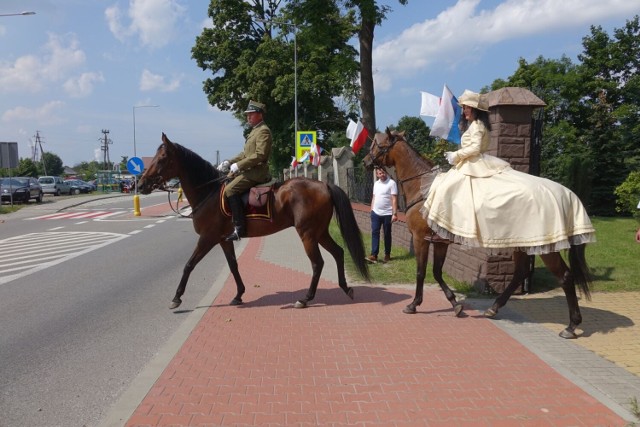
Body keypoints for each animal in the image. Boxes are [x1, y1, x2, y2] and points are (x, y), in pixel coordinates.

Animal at [140, 134, 370, 310]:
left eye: (162, 158)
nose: (141, 184)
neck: (209, 192)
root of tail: (324, 185)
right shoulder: (223, 239)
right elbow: (233, 265)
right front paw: (238, 294)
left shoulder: (207, 238)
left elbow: (189, 265)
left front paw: (176, 298)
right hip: (320, 232)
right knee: (338, 253)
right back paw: (346, 288)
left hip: (308, 234)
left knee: (317, 263)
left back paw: (305, 299)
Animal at [362, 129, 592, 340]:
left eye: (376, 144)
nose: (365, 161)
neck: (424, 188)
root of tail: (567, 194)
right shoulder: (440, 242)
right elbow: (437, 272)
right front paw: (455, 303)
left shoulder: (420, 239)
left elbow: (421, 272)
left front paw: (414, 304)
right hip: (521, 244)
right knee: (520, 273)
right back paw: (494, 308)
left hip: (546, 248)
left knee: (565, 277)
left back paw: (571, 326)